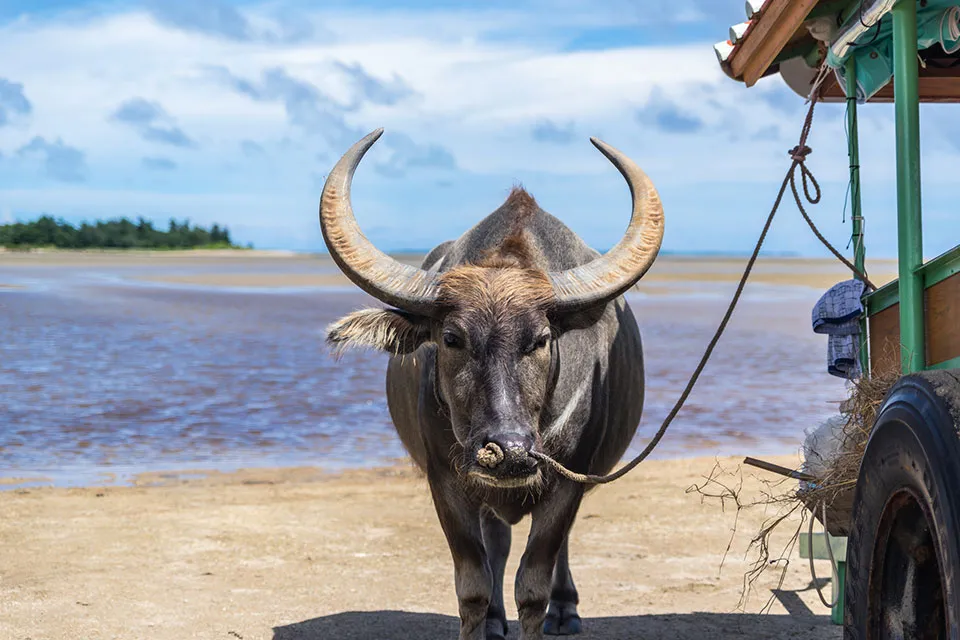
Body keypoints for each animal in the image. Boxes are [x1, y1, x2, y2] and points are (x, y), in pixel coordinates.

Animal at [320, 130, 660, 640]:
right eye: (451, 338)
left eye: (541, 339)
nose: (510, 451)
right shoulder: (446, 480)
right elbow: (473, 584)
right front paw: (486, 615)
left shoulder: (568, 481)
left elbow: (535, 583)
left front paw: (548, 607)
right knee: (497, 541)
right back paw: (498, 620)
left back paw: (566, 609)